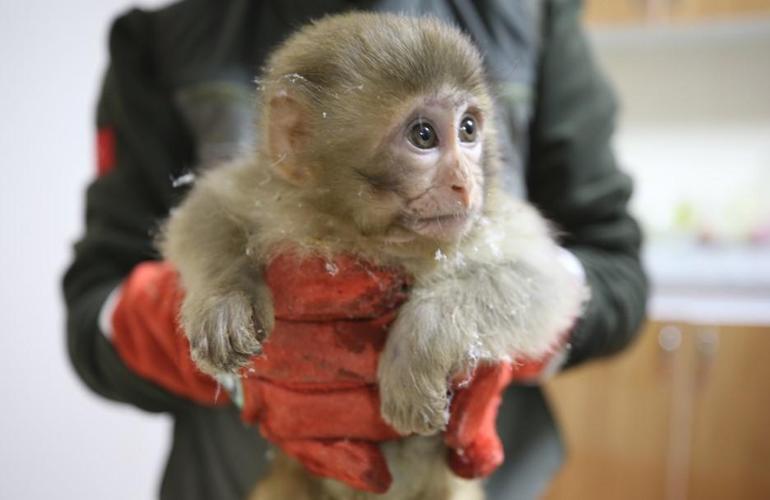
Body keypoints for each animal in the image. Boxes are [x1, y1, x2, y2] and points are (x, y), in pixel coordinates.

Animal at [160, 11, 584, 500]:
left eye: (468, 129)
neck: (367, 235)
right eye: (423, 135)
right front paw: (224, 299)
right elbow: (206, 210)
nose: (465, 183)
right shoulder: (274, 195)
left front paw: (416, 346)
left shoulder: (487, 220)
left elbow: (543, 279)